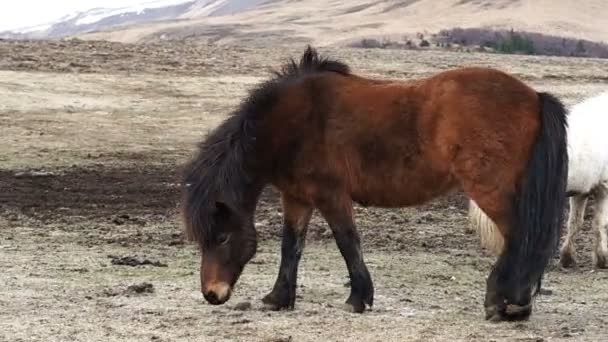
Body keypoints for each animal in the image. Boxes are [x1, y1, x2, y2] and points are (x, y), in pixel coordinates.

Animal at [179, 46, 564, 322]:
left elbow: (348, 242)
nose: (211, 294)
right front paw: (278, 298)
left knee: (520, 239)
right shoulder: (297, 197)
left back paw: (507, 304)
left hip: (491, 190)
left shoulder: (331, 195)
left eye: (222, 237)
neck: (288, 124)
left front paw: (357, 299)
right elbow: (292, 245)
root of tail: (534, 96)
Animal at [470, 92, 608, 268]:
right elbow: (599, 224)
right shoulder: (603, 187)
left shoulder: (582, 190)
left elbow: (575, 223)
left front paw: (568, 258)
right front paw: (602, 259)